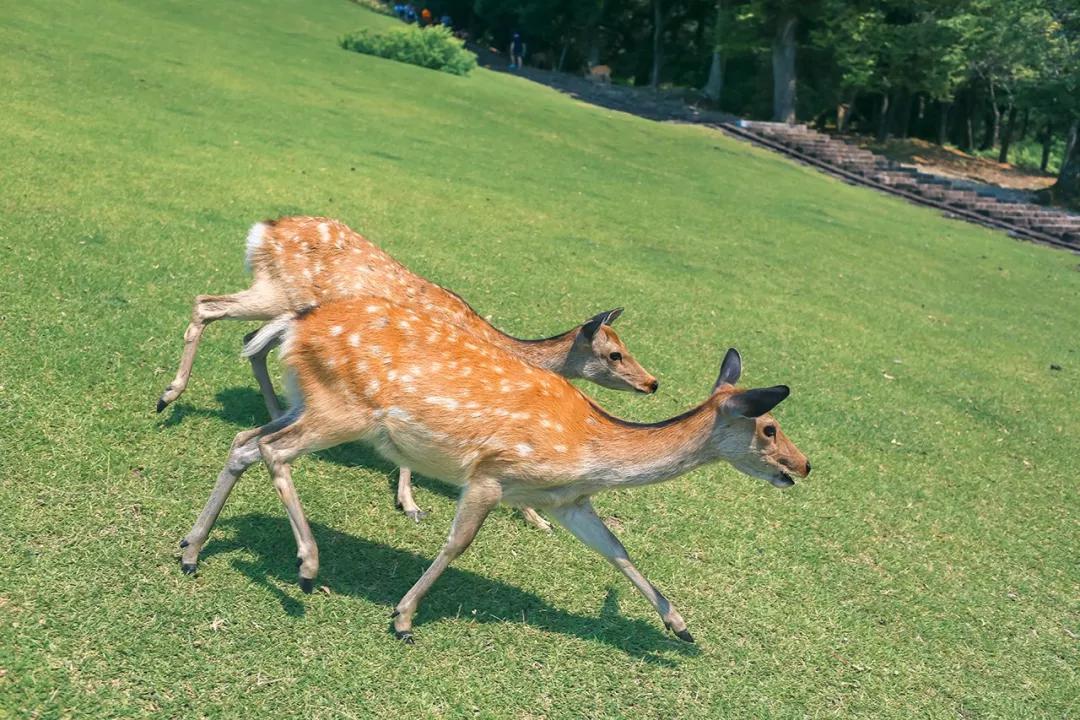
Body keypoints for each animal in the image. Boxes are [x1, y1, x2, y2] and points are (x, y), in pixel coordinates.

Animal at [154, 215, 656, 528]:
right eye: (614, 354)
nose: (652, 382)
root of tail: (262, 231)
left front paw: (534, 517)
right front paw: (411, 504)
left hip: (280, 302)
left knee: (248, 340)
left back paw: (274, 408)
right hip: (277, 292)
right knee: (208, 306)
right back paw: (168, 397)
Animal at [179, 295, 812, 643]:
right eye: (769, 427)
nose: (803, 465)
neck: (589, 451)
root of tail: (292, 322)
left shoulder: (569, 501)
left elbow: (617, 550)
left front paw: (680, 626)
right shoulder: (490, 475)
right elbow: (457, 543)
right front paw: (403, 618)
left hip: (304, 400)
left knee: (244, 441)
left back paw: (190, 549)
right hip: (340, 409)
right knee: (273, 452)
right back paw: (308, 567)